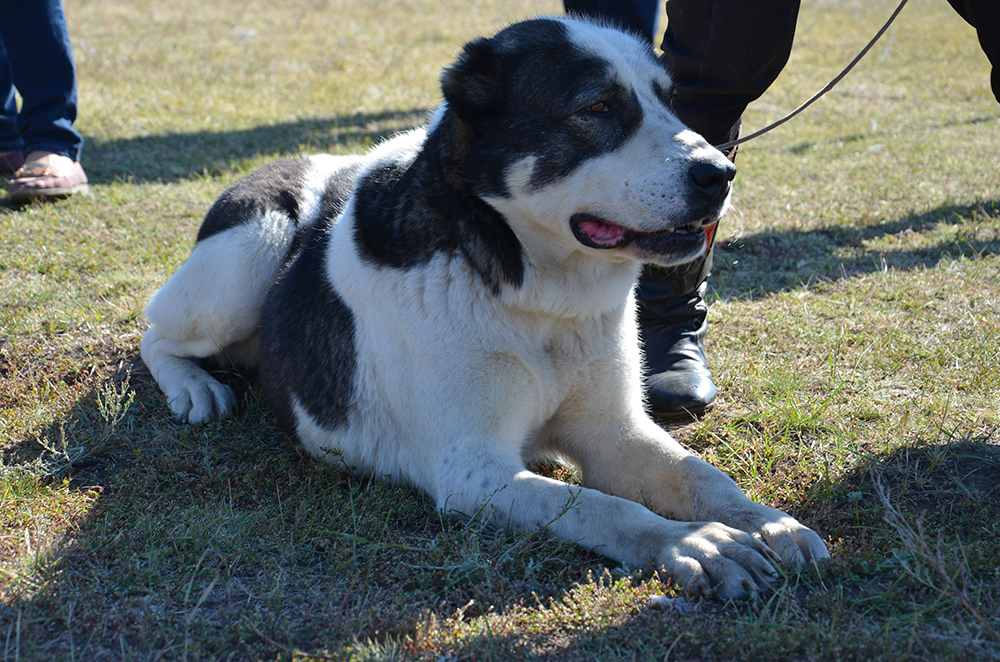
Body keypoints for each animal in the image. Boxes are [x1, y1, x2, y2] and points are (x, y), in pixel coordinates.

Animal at [141, 19, 828, 600]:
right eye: (598, 108)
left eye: (671, 101)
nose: (720, 174)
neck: (534, 293)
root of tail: (299, 160)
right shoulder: (472, 470)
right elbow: (605, 508)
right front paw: (696, 545)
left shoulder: (615, 432)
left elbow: (699, 476)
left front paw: (766, 522)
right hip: (252, 249)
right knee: (156, 333)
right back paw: (195, 388)